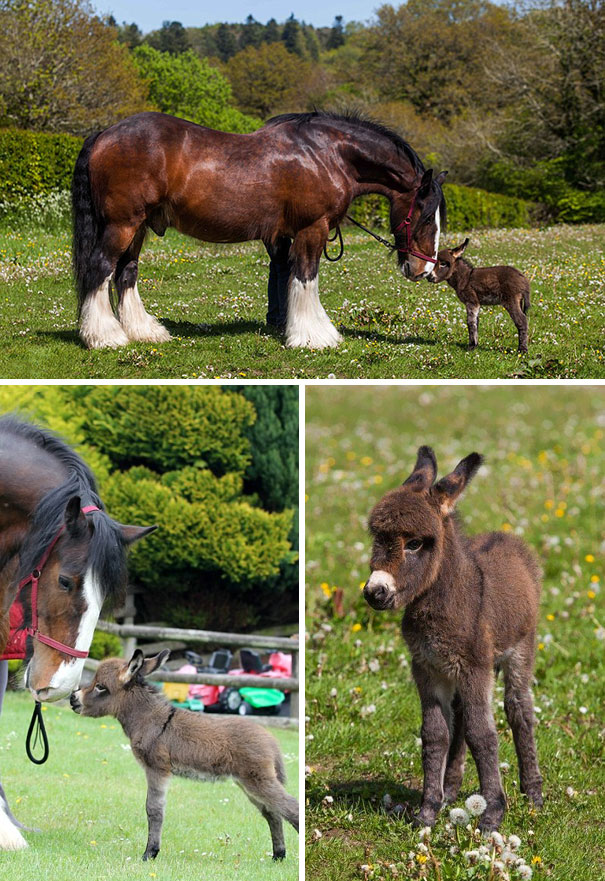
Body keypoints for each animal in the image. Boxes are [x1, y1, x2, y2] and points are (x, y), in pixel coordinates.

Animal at [72, 110, 447, 351]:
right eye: (427, 217)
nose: (424, 269)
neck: (327, 154)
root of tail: (105, 134)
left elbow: (288, 276)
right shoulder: (312, 228)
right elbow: (305, 277)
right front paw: (313, 336)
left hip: (138, 227)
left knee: (126, 272)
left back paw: (143, 332)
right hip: (123, 224)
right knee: (101, 269)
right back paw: (104, 337)